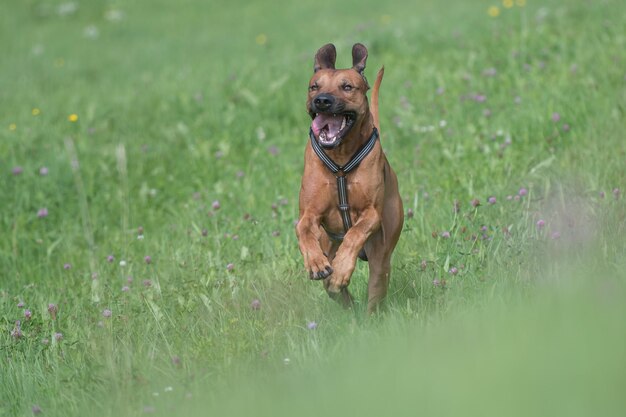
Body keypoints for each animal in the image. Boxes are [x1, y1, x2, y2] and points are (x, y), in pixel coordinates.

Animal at [294, 43, 402, 312]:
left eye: (347, 87)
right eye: (314, 86)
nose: (322, 101)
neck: (341, 160)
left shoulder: (371, 213)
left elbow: (354, 233)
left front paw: (342, 269)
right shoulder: (309, 212)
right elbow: (303, 229)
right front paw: (315, 263)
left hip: (381, 255)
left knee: (376, 283)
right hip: (328, 242)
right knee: (332, 288)